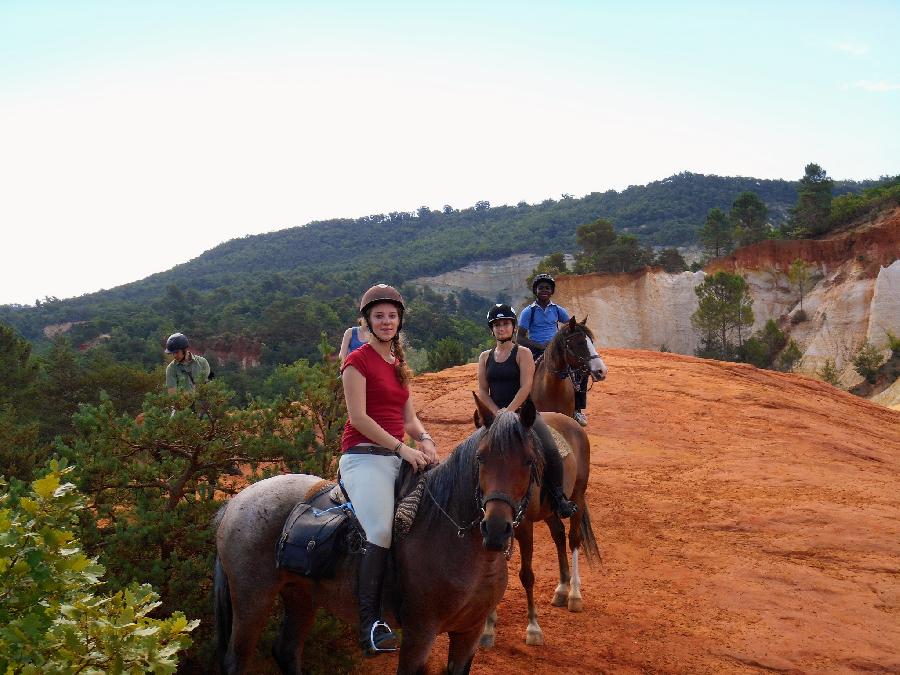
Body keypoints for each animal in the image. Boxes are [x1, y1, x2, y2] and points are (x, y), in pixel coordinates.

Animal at [214, 398, 544, 672]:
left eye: (529, 460)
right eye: (481, 458)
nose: (496, 529)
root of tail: (234, 502)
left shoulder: (469, 634)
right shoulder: (419, 635)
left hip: (301, 597)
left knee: (286, 651)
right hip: (252, 602)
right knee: (236, 661)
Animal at [474, 406, 600, 648]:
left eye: (527, 461)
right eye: (480, 457)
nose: (497, 522)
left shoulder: (523, 528)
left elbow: (527, 575)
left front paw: (533, 628)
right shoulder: (493, 533)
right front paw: (487, 628)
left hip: (578, 496)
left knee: (573, 540)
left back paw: (574, 594)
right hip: (549, 511)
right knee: (559, 534)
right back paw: (562, 589)